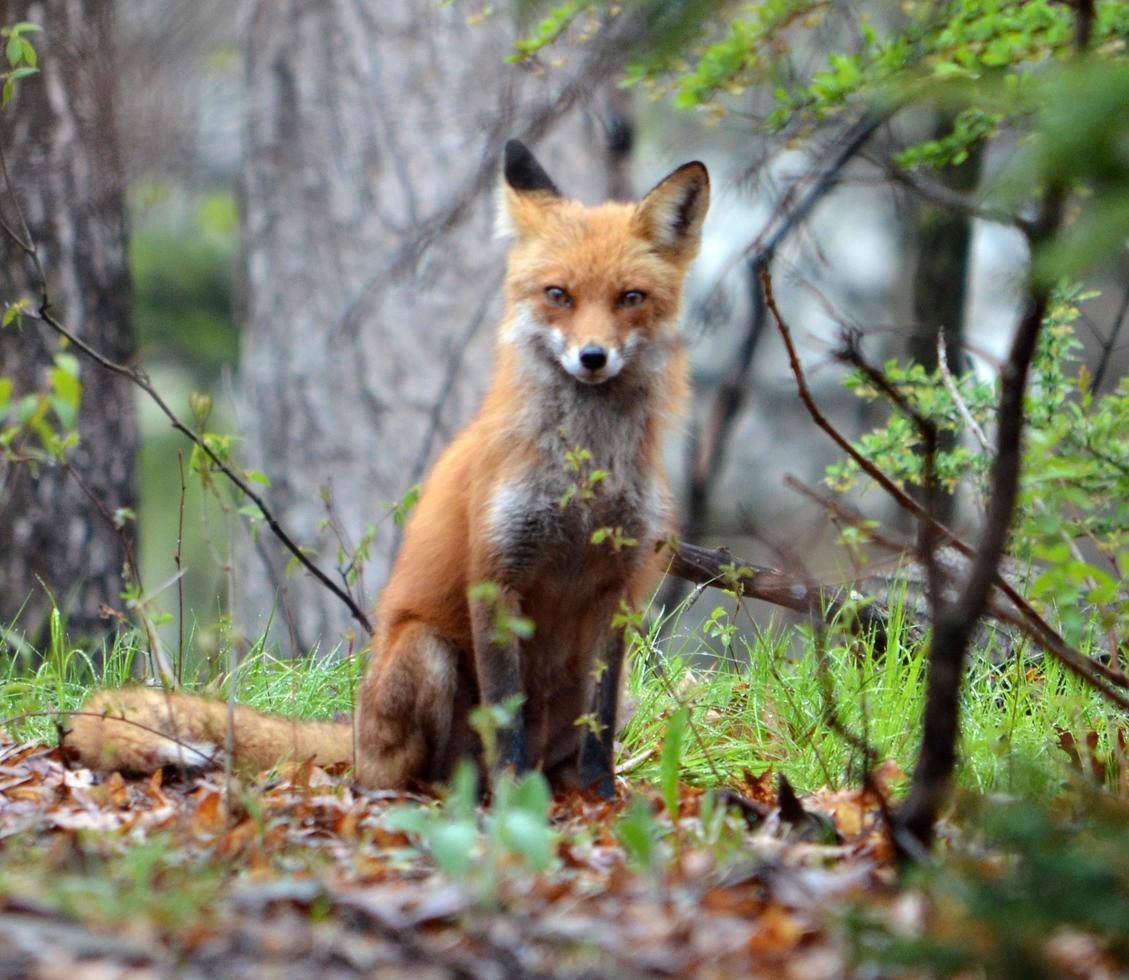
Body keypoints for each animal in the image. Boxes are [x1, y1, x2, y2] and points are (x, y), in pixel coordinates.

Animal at [66, 140, 709, 794]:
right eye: (559, 295)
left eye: (630, 298)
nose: (592, 357)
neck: (584, 477)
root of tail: (356, 734)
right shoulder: (495, 574)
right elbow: (506, 714)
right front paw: (514, 801)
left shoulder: (617, 588)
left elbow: (598, 726)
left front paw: (602, 798)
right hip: (426, 654)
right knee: (410, 773)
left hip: (601, 696)